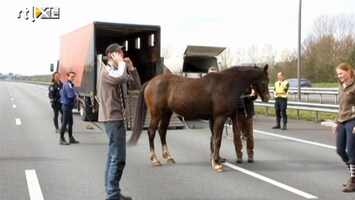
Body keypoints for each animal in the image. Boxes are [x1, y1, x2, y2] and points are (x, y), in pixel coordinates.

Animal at [128, 64, 270, 172]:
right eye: (265, 81)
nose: (267, 98)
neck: (226, 84)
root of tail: (150, 82)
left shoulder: (217, 119)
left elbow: (214, 139)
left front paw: (215, 160)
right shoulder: (220, 118)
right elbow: (217, 140)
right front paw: (217, 164)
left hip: (166, 114)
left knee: (162, 131)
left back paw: (168, 157)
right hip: (156, 114)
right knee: (151, 132)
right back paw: (155, 159)